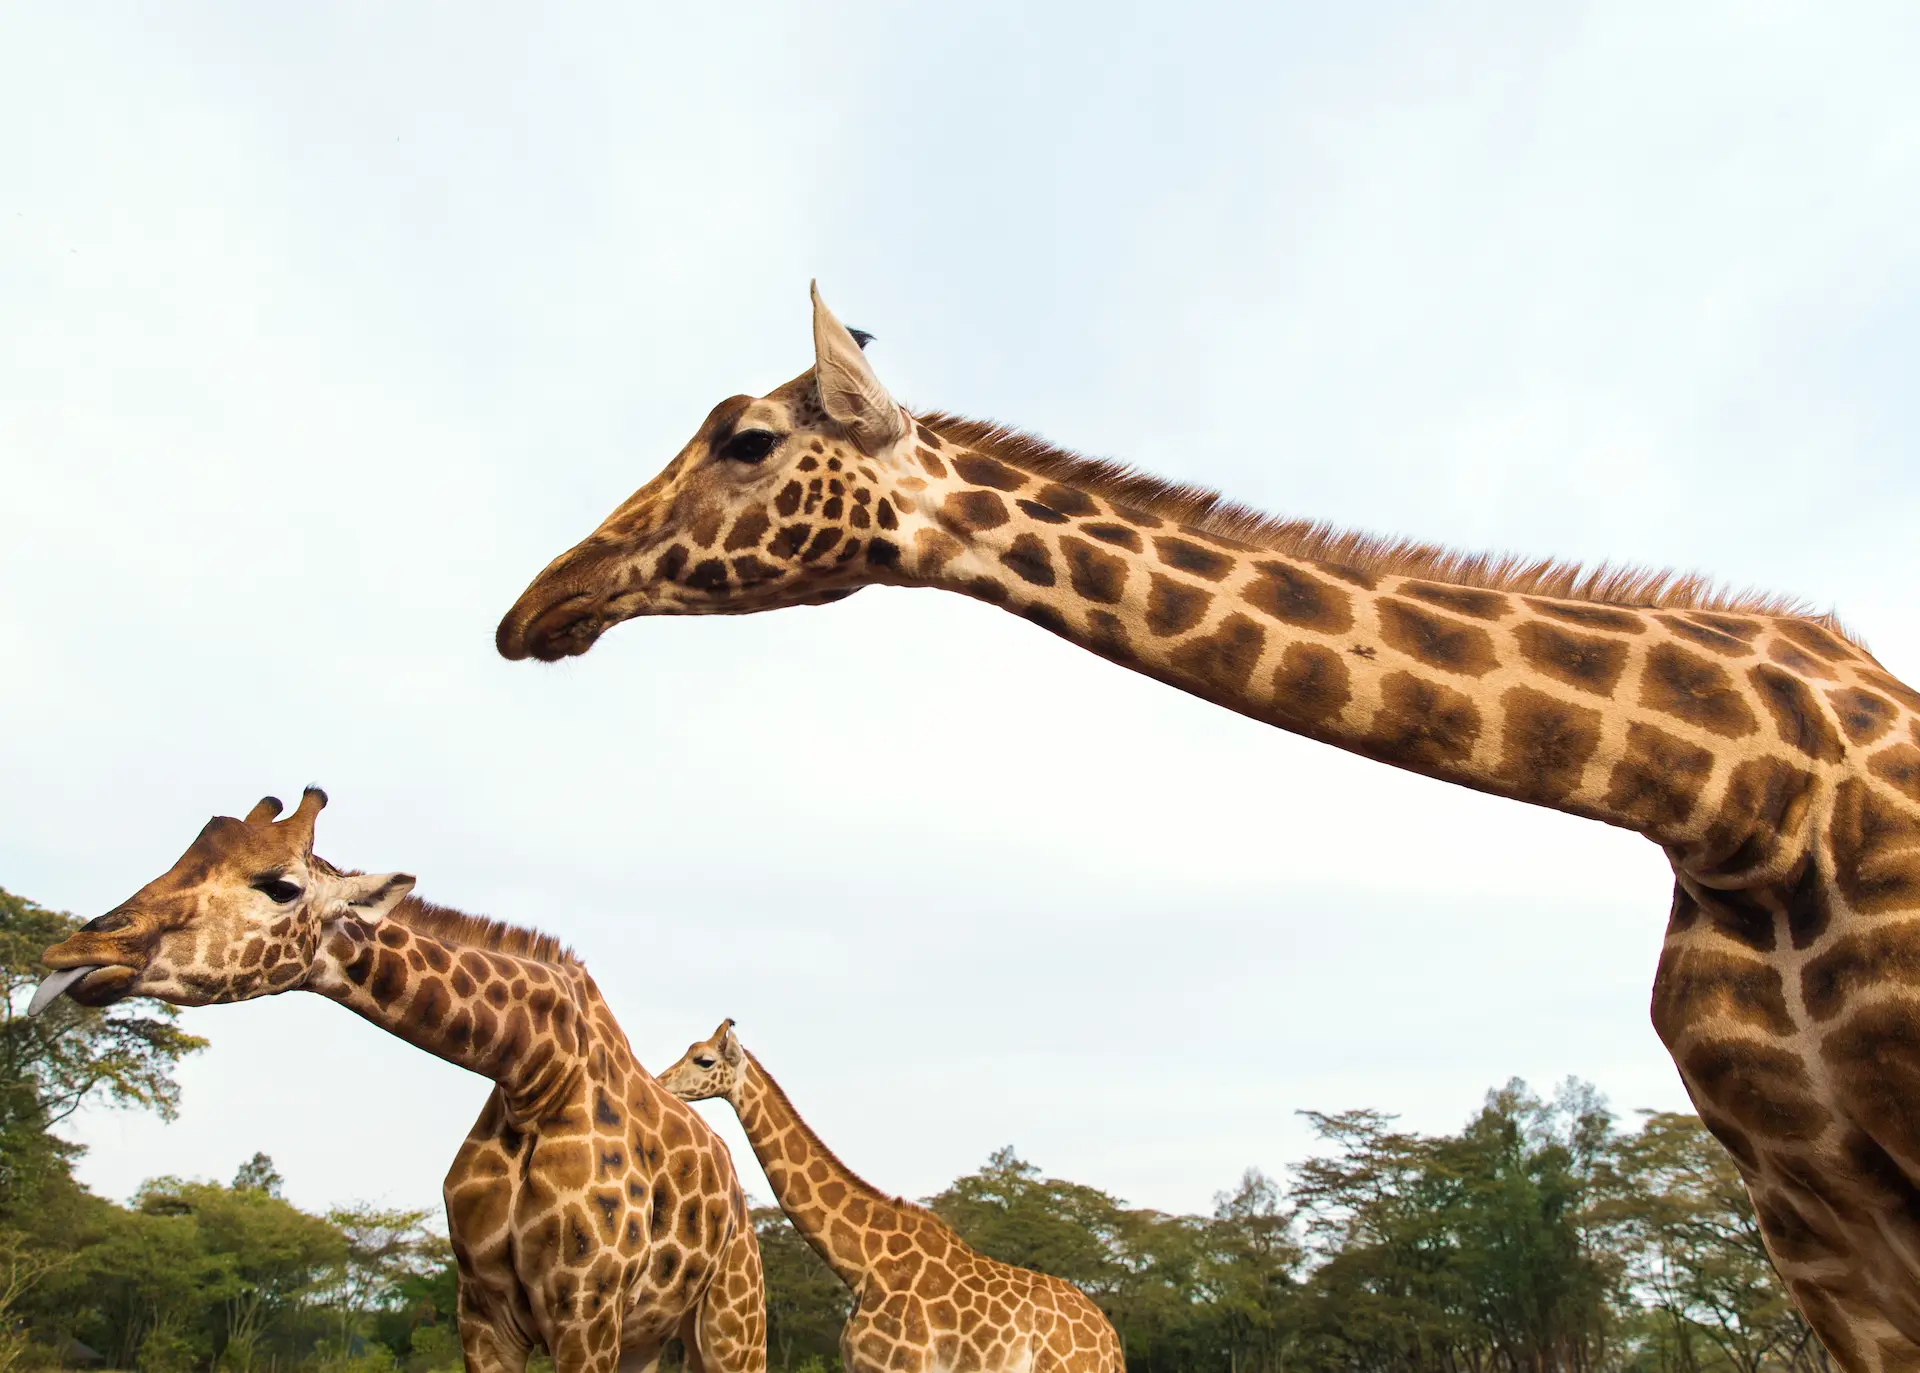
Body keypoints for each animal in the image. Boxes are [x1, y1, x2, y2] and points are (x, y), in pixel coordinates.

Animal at [30, 787, 766, 1373]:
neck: (536, 1070)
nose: (76, 950)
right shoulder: (484, 1309)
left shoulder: (584, 1308)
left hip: (732, 1322)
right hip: (650, 1337)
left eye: (280, 885)